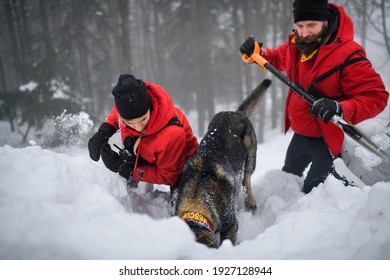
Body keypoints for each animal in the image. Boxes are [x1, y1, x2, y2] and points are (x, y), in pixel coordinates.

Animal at [176, 79, 272, 247]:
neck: (196, 200)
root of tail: (236, 113)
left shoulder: (231, 224)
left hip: (250, 152)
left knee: (247, 177)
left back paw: (250, 200)